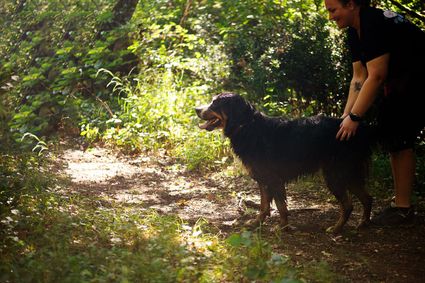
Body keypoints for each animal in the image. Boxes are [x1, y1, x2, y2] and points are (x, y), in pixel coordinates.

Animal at [194, 92, 372, 234]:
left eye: (215, 103)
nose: (196, 109)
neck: (246, 126)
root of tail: (360, 131)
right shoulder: (263, 178)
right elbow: (264, 204)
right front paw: (257, 222)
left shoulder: (273, 178)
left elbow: (280, 205)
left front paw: (282, 227)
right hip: (348, 174)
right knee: (367, 198)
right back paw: (363, 224)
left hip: (335, 174)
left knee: (348, 205)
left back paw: (336, 228)